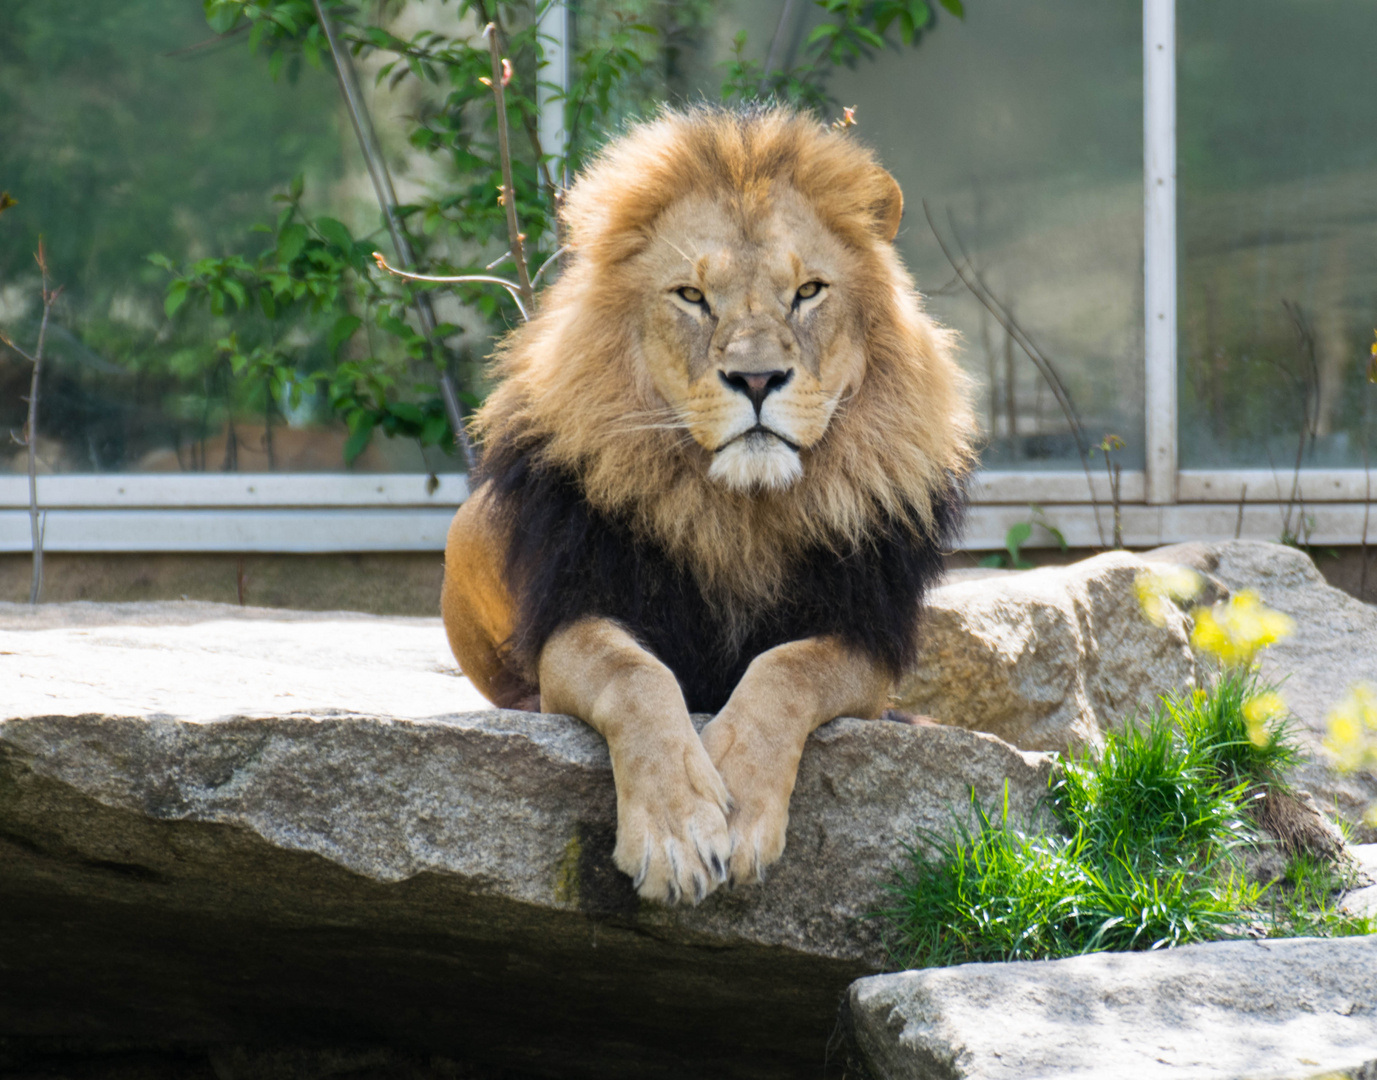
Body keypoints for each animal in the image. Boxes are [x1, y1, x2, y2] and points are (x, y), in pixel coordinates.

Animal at [446, 107, 974, 903]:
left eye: (807, 292)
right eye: (692, 297)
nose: (756, 379)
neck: (738, 512)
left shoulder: (863, 633)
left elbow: (788, 670)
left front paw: (743, 804)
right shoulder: (576, 611)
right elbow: (633, 677)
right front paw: (676, 834)